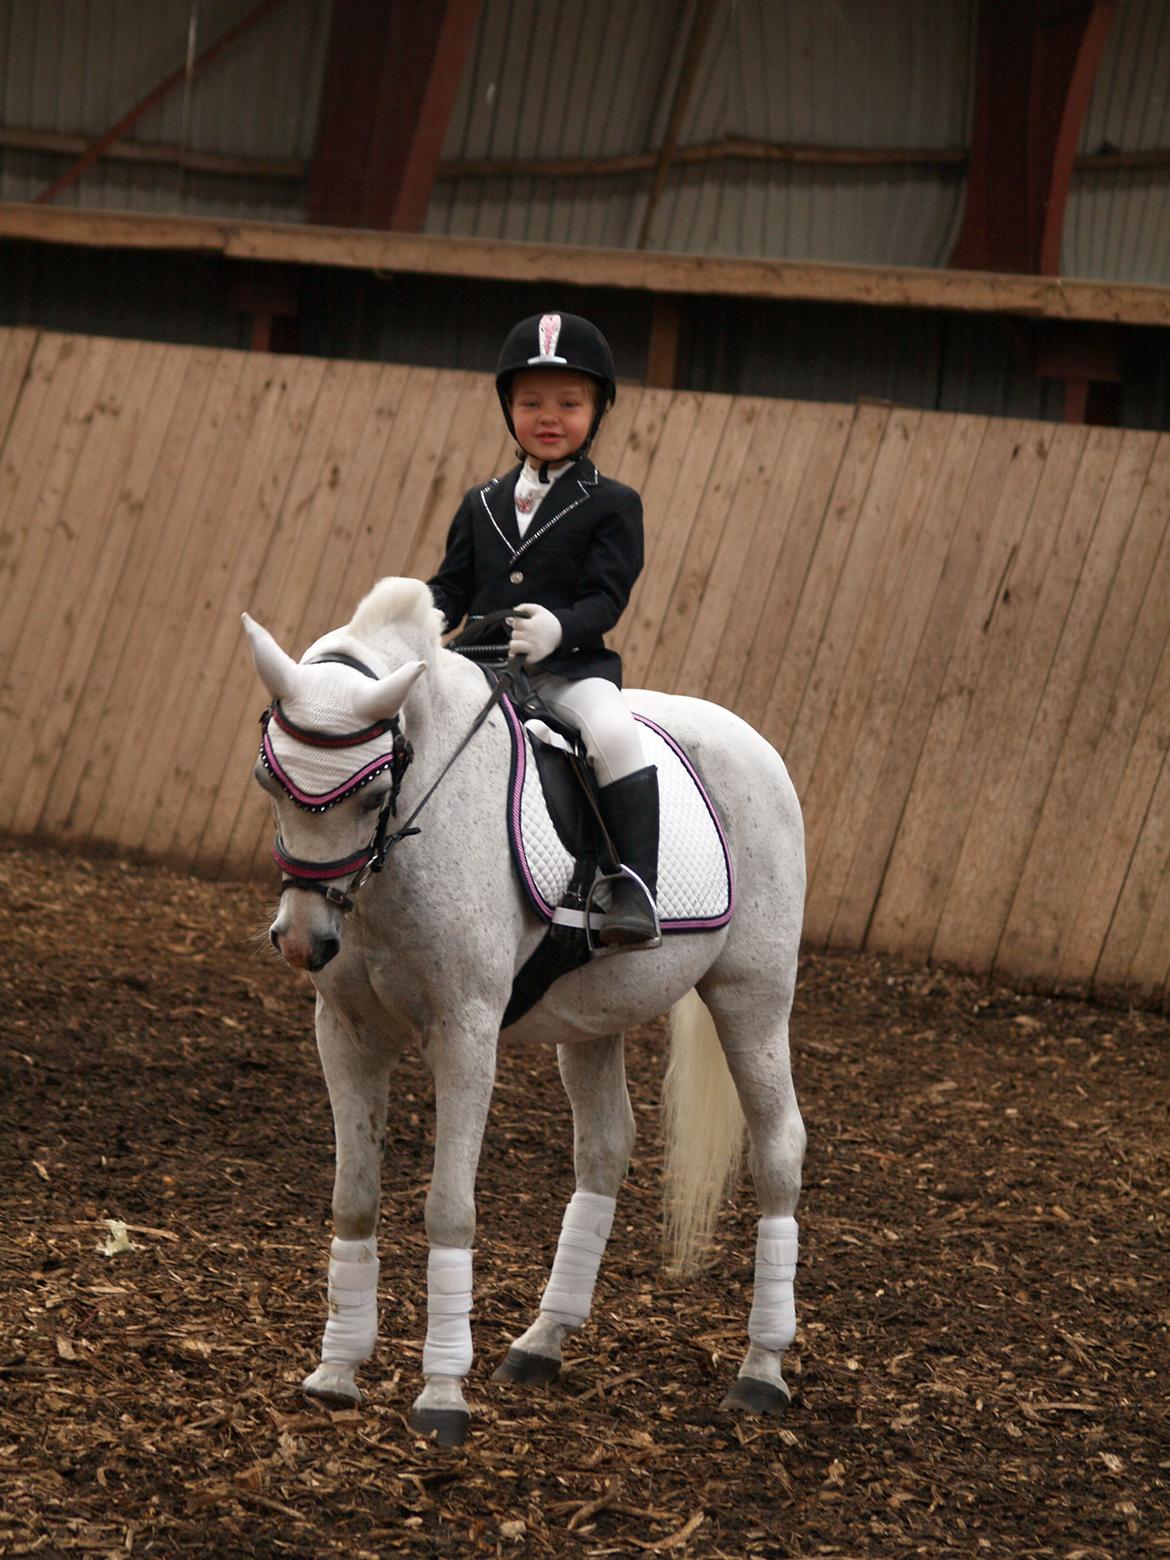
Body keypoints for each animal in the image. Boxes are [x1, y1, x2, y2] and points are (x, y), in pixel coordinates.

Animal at [243, 580, 811, 1441]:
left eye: (373, 791)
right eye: (269, 783)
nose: (306, 941)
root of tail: (752, 742)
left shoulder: (466, 1033)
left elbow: (449, 1210)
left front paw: (441, 1394)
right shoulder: (345, 1035)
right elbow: (354, 1199)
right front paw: (336, 1371)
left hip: (753, 995)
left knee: (779, 1149)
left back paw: (761, 1370)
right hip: (594, 1016)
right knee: (606, 1148)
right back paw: (542, 1343)